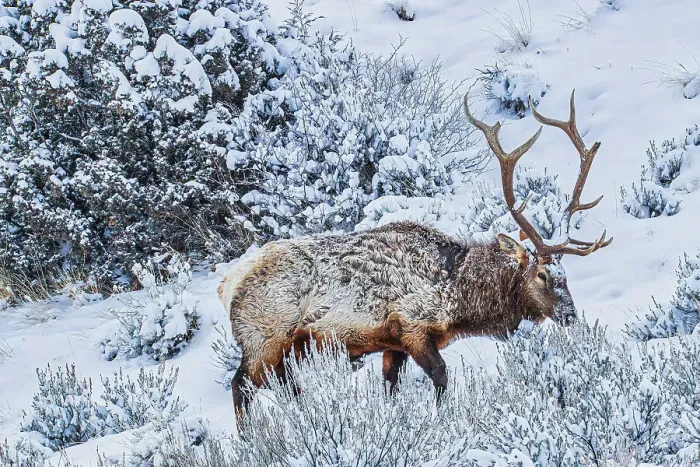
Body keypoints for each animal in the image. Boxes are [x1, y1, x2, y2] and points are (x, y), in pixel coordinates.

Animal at [218, 90, 612, 425]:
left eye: (566, 275)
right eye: (542, 276)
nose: (570, 315)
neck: (459, 297)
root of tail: (227, 286)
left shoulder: (392, 344)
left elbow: (390, 388)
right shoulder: (413, 327)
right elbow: (441, 378)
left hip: (282, 347)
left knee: (272, 386)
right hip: (265, 338)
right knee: (243, 386)